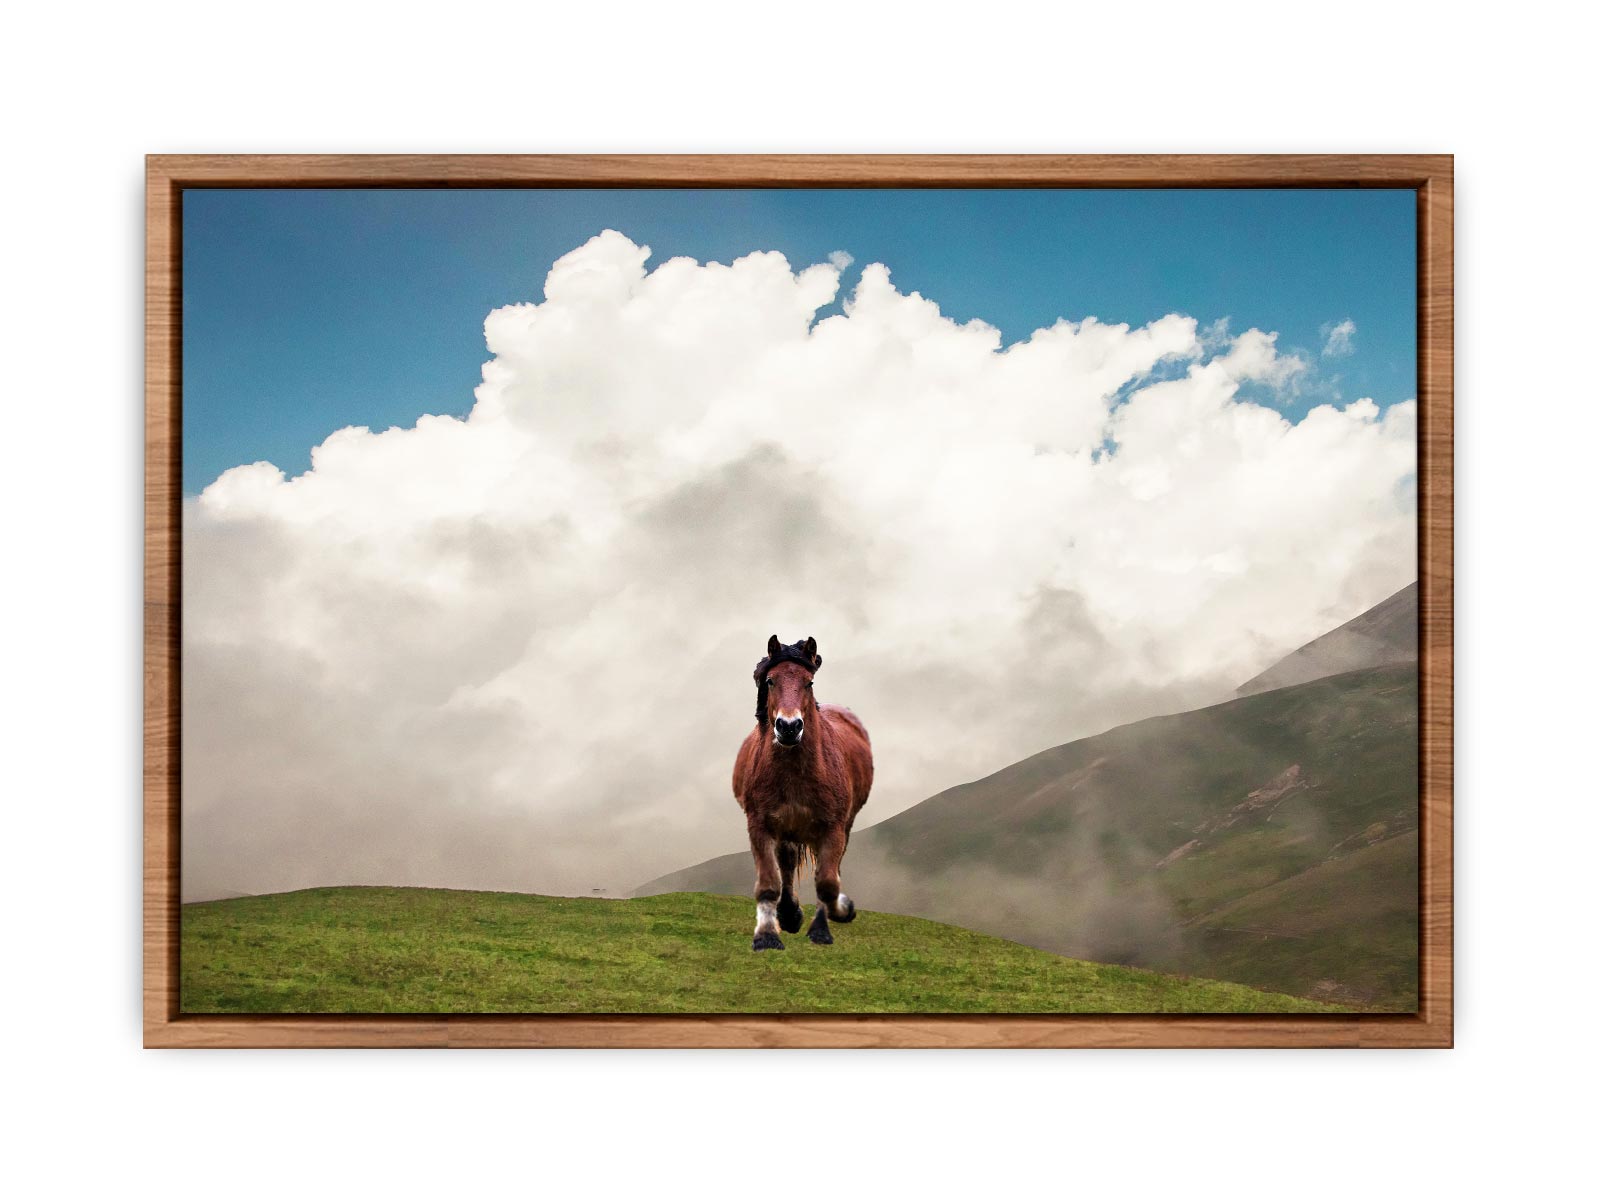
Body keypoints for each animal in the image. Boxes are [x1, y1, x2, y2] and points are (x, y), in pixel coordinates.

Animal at [731, 635, 874, 950]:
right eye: (770, 680)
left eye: (809, 682)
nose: (788, 727)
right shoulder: (760, 825)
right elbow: (769, 882)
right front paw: (767, 935)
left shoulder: (832, 828)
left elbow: (827, 882)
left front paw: (830, 921)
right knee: (786, 864)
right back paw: (788, 914)